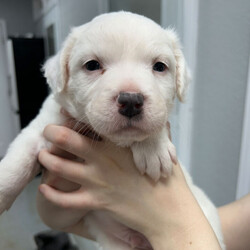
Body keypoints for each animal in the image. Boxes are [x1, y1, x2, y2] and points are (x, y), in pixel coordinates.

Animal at [0, 11, 225, 250]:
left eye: (159, 66)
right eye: (92, 65)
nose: (131, 101)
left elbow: (157, 123)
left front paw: (153, 148)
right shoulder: (42, 127)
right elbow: (16, 165)